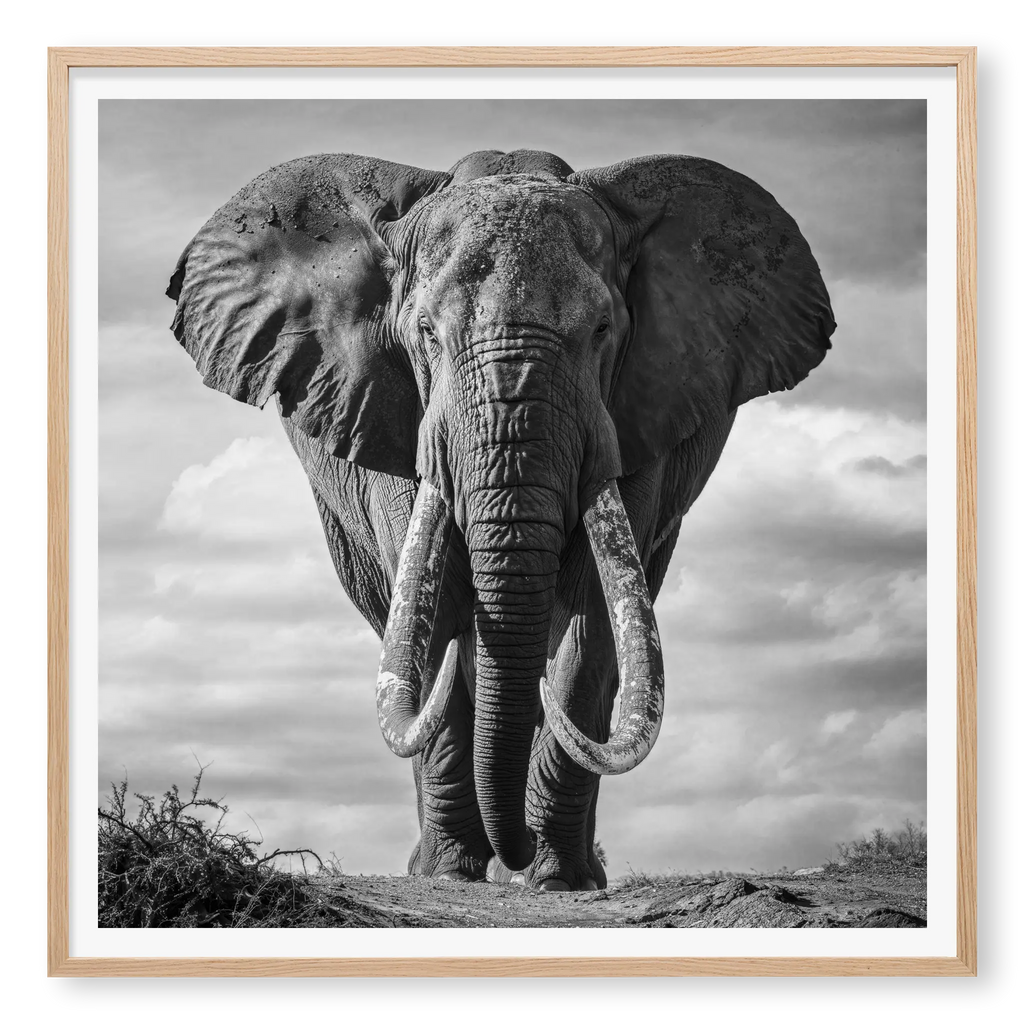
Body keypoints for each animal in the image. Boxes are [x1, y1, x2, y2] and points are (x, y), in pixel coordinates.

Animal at [165, 148, 835, 892]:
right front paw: (450, 874)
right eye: (425, 333)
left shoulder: (641, 417)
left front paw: (558, 879)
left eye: (602, 331)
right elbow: (432, 617)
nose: (510, 852)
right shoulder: (387, 412)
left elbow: (591, 621)